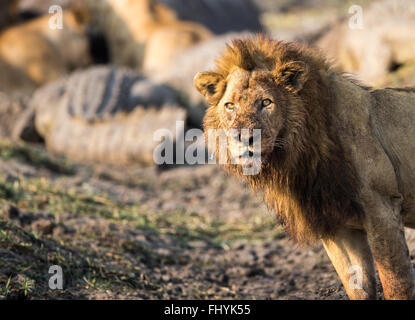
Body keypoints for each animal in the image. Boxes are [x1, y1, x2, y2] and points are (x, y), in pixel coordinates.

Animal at [197, 36, 415, 302]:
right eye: (230, 106)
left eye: (266, 102)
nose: (244, 138)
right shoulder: (336, 225)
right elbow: (357, 287)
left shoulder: (382, 207)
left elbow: (396, 283)